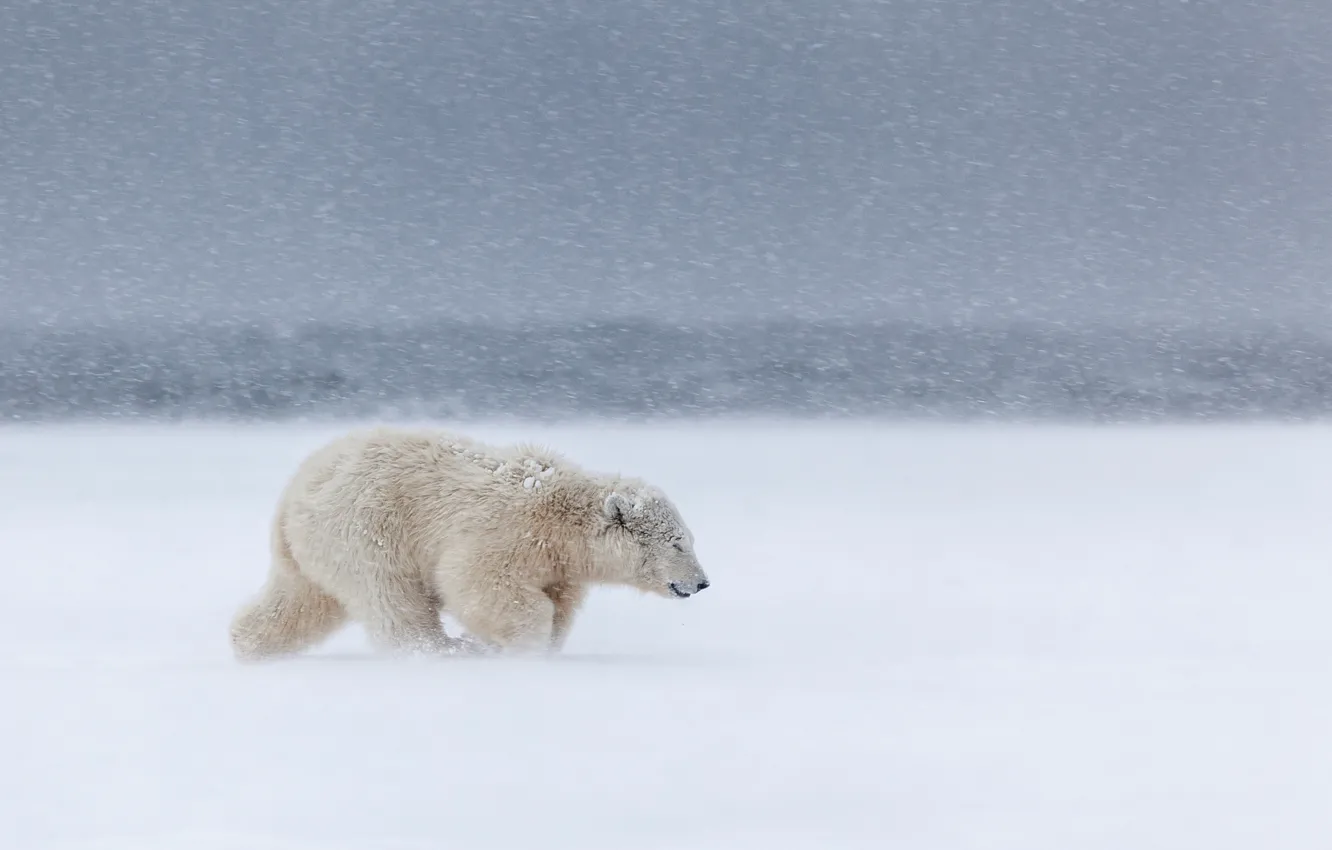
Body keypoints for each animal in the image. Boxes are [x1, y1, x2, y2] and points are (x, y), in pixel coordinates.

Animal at [229, 426, 710, 661]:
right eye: (678, 544)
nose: (702, 582)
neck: (561, 519)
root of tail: (293, 493)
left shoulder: (559, 565)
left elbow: (559, 605)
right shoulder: (505, 533)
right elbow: (476, 582)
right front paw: (511, 646)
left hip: (310, 550)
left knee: (299, 600)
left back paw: (248, 645)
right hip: (365, 529)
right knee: (392, 599)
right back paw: (442, 650)